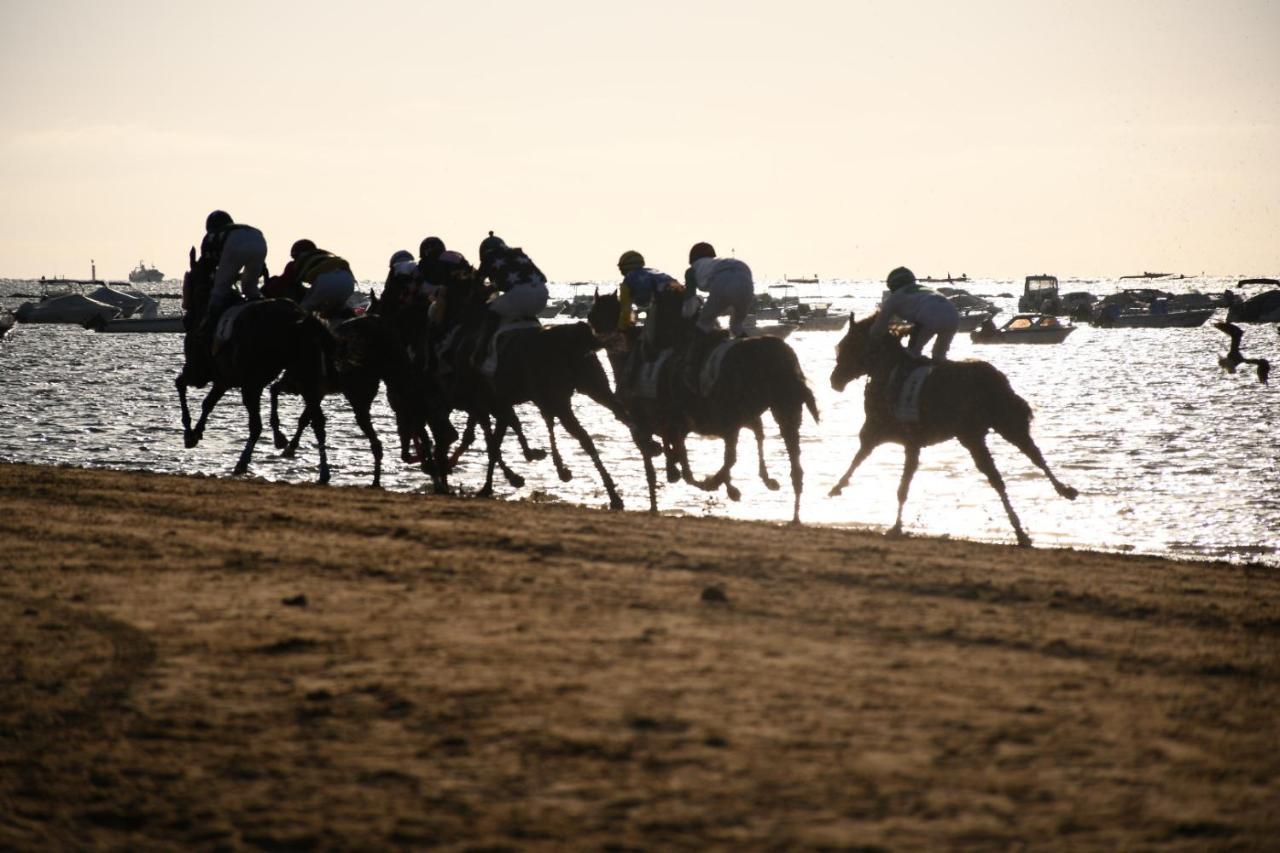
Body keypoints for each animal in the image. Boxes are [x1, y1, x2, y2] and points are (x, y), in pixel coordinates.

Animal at [176, 249, 332, 481]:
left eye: (189, 279)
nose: (186, 316)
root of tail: (298, 319)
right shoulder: (223, 379)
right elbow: (208, 403)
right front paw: (196, 432)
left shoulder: (199, 372)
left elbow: (181, 384)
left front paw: (189, 431)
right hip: (305, 379)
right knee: (318, 422)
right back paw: (323, 471)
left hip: (253, 384)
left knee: (256, 426)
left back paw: (243, 462)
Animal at [588, 289, 819, 522]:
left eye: (593, 313)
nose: (592, 336)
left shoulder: (654, 423)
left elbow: (670, 464)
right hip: (782, 407)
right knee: (790, 454)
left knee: (733, 455)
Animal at [829, 312, 1080, 545]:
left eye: (848, 346)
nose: (834, 380)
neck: (888, 372)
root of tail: (995, 380)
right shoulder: (893, 438)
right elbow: (866, 461)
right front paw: (839, 488)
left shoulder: (892, 435)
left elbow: (888, 476)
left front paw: (893, 525)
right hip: (1000, 427)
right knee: (1023, 462)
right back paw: (1038, 515)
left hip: (976, 434)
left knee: (1010, 469)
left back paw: (1034, 516)